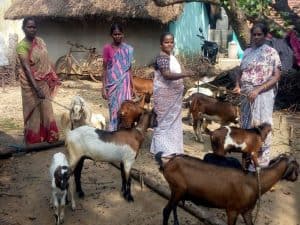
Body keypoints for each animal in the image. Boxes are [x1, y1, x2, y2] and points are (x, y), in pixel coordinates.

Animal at [156, 153, 298, 225]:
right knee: (166, 210)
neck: (254, 182)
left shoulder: (246, 211)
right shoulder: (232, 210)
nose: (296, 178)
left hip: (177, 192)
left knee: (173, 207)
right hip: (178, 189)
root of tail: (167, 165)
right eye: (297, 165)